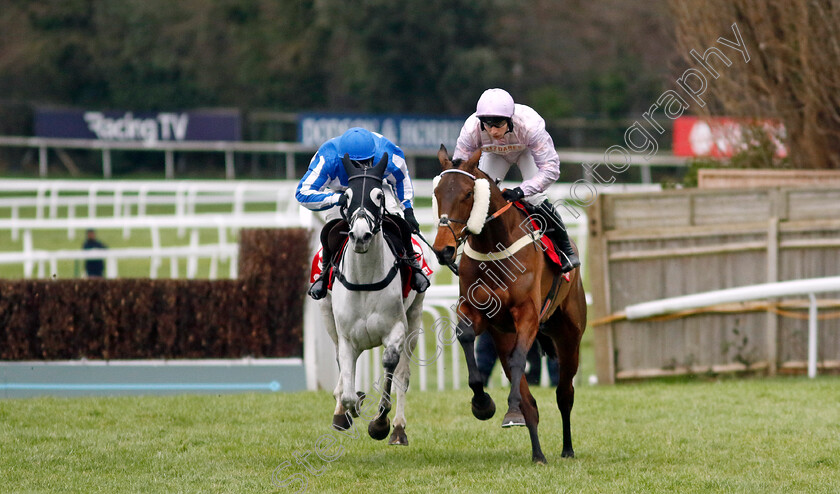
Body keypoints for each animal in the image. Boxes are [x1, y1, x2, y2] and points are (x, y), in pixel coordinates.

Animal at [318, 153, 424, 444]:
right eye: (347, 197)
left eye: (378, 195)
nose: (360, 235)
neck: (365, 280)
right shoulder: (346, 336)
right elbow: (348, 390)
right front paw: (349, 407)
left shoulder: (397, 328)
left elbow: (390, 363)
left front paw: (380, 422)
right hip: (326, 315)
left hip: (415, 316)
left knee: (402, 376)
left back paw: (397, 429)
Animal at [430, 145, 588, 462]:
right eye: (438, 192)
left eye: (468, 193)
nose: (443, 250)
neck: (494, 246)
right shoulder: (479, 313)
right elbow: (466, 336)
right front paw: (482, 403)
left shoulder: (527, 314)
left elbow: (519, 361)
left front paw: (507, 405)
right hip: (504, 335)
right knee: (531, 403)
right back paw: (537, 452)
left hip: (570, 337)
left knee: (564, 394)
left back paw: (566, 448)